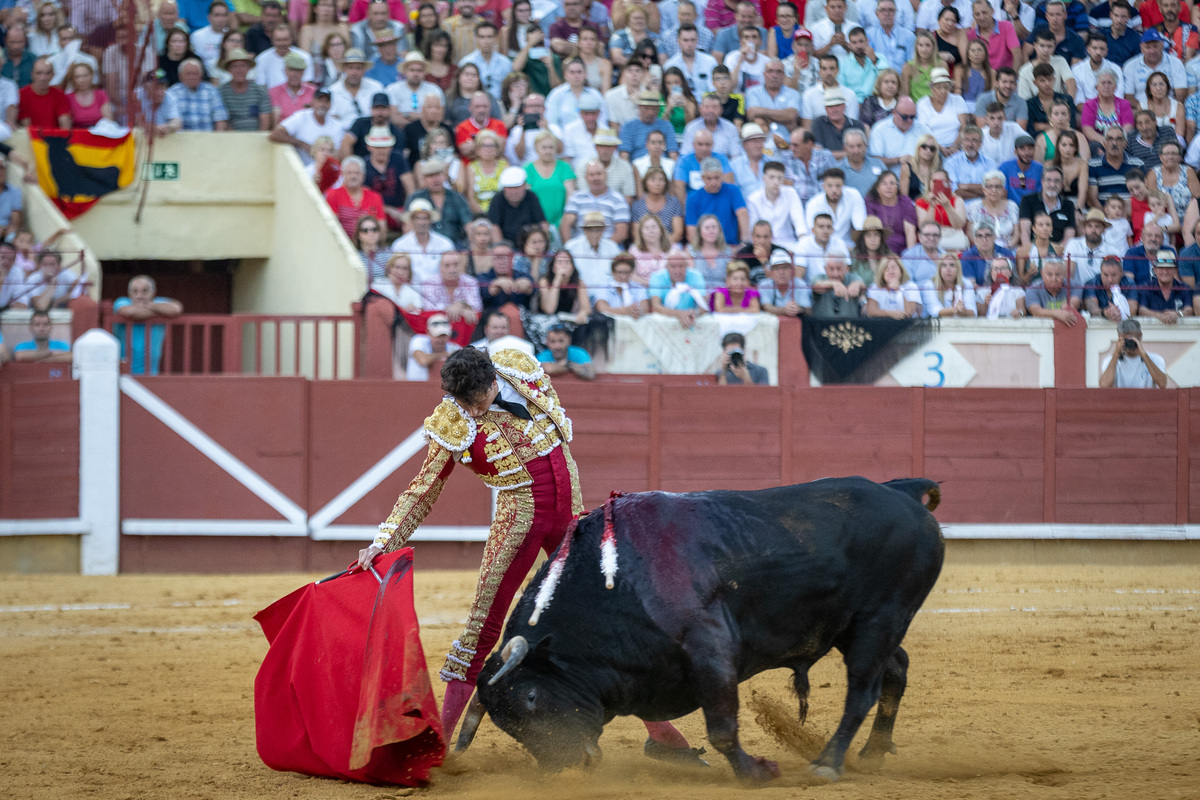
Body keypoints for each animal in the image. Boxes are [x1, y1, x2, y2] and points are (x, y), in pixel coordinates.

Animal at [458, 474, 945, 782]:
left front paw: (756, 772)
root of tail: (901, 492)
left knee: (862, 691)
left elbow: (722, 726)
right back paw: (872, 754)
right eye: (505, 723)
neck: (618, 579)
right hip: (864, 627)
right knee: (896, 670)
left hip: (877, 622)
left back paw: (829, 762)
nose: (565, 768)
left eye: (531, 697)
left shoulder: (709, 647)